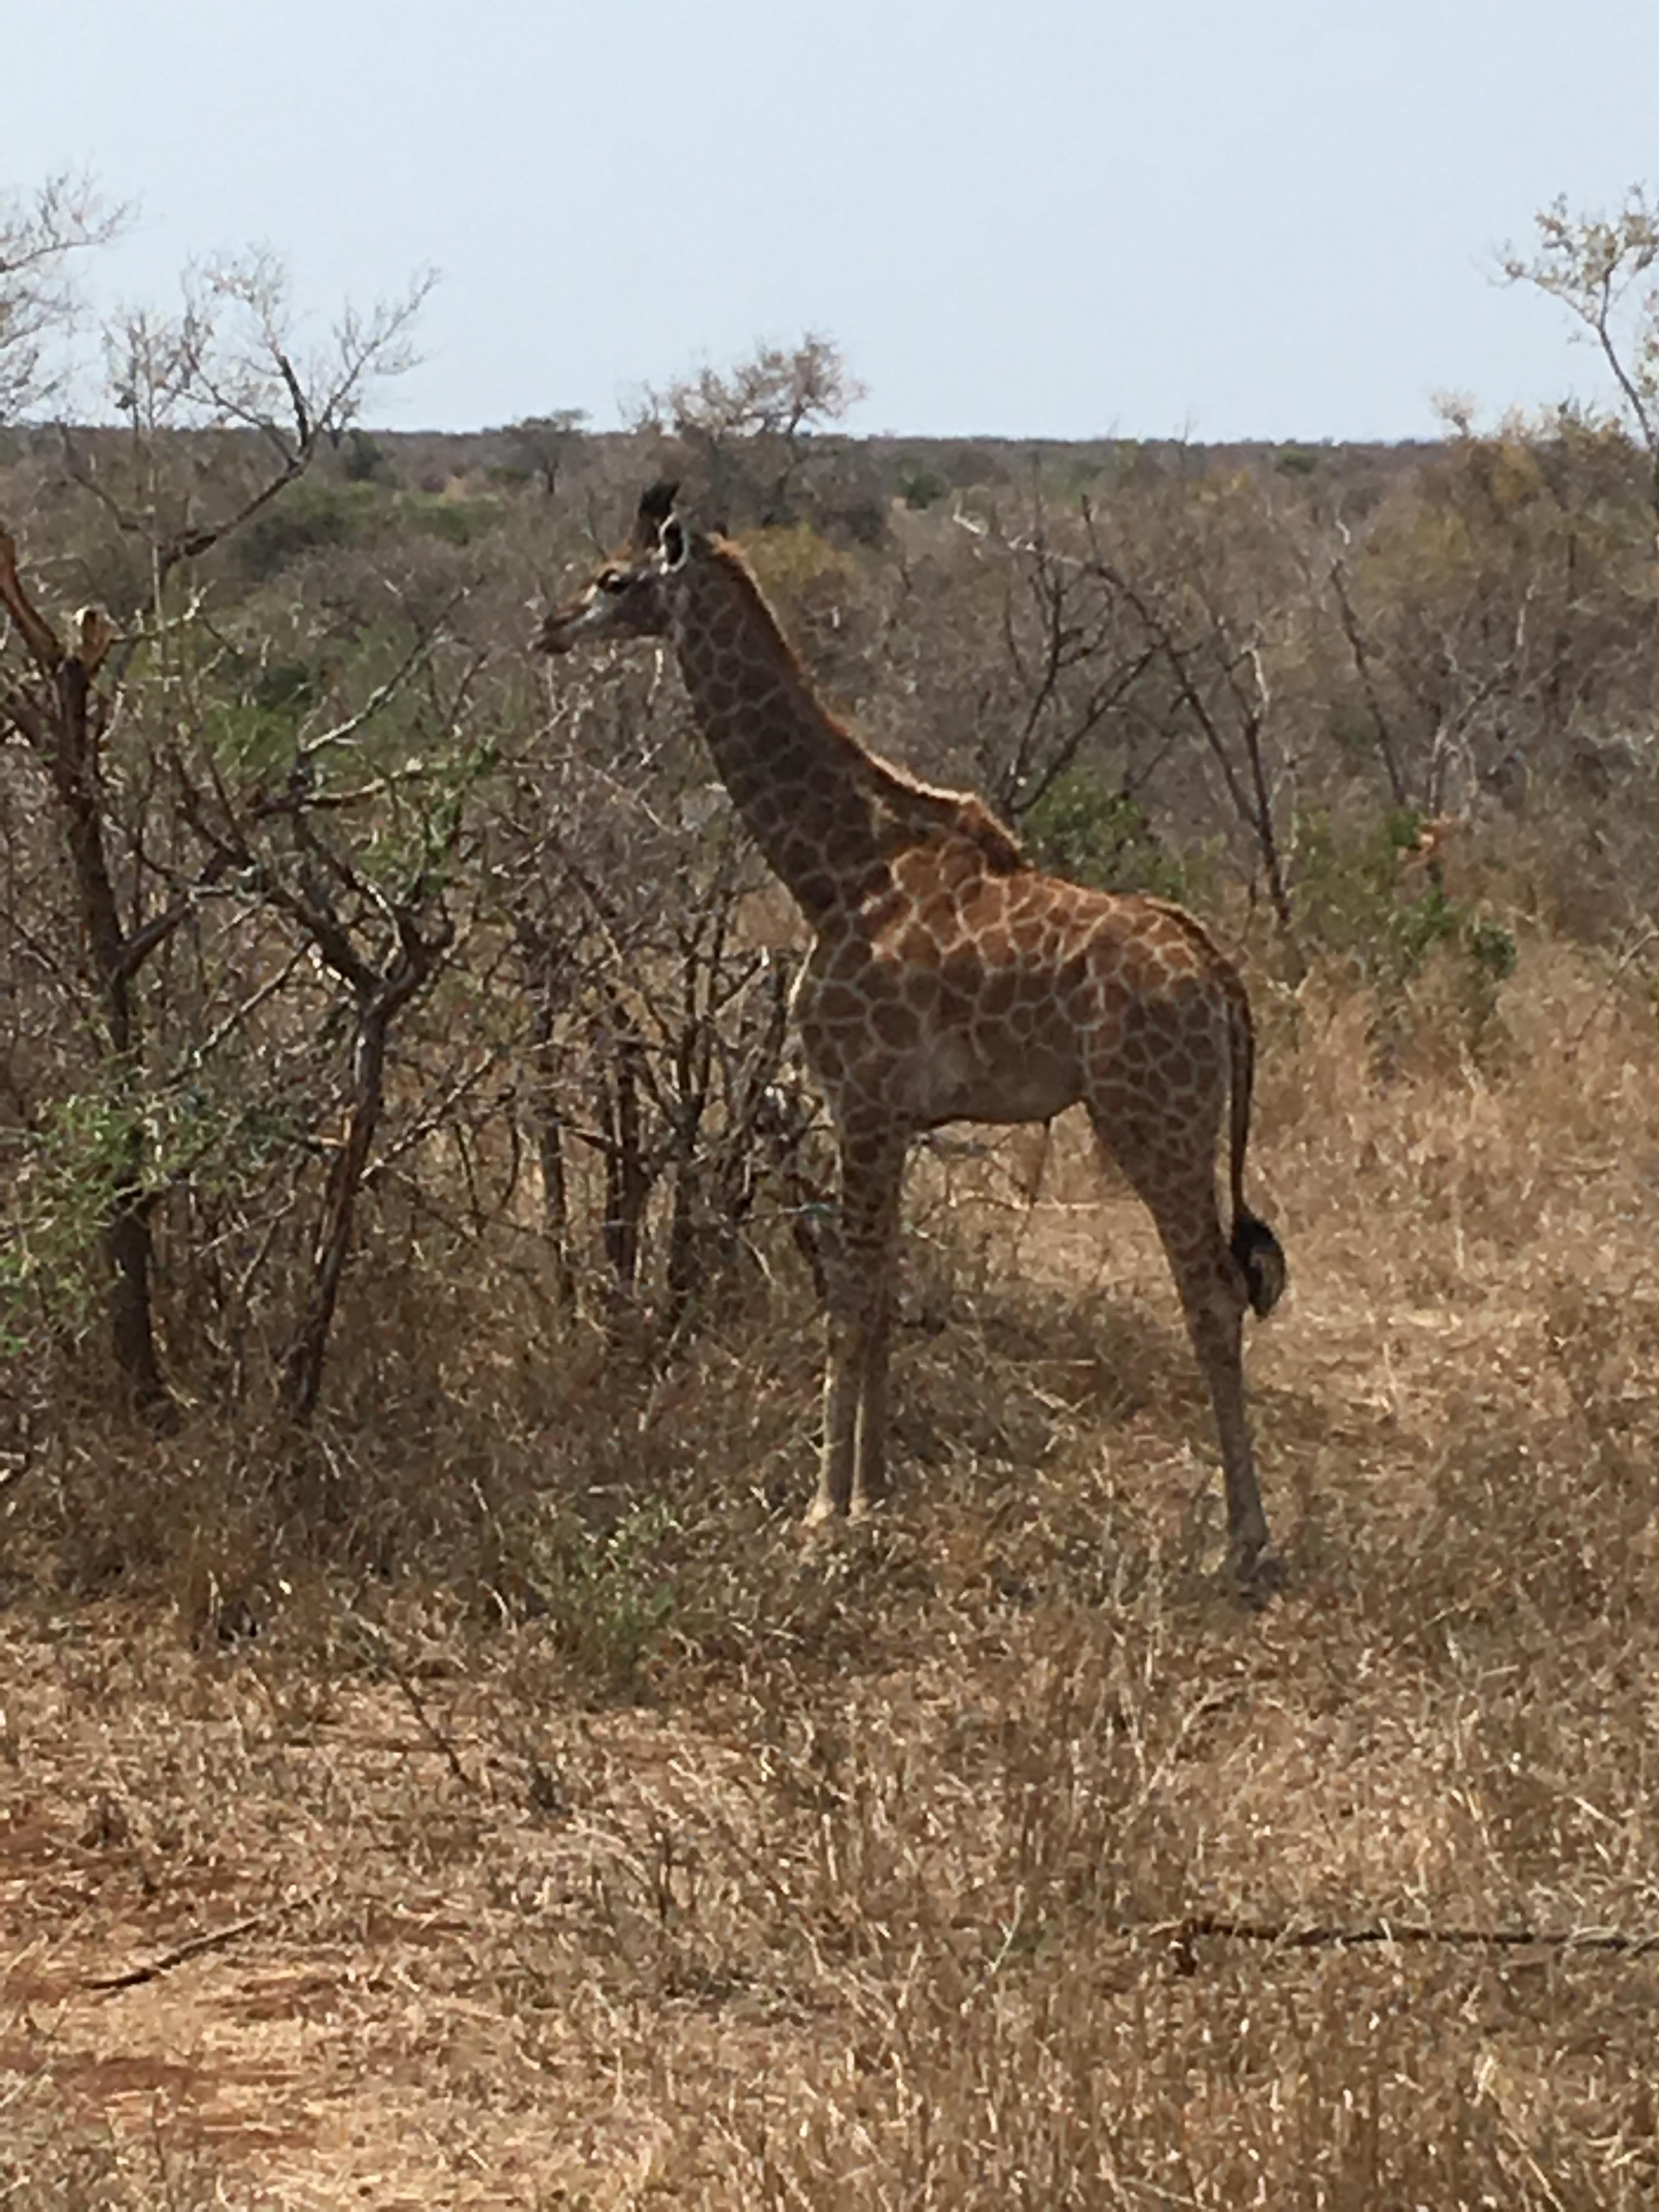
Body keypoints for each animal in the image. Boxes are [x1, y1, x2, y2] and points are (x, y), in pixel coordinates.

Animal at [539, 482, 1291, 1575]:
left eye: (612, 578)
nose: (548, 625)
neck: (835, 868)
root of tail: (1220, 977)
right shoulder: (890, 1116)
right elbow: (887, 1293)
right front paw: (876, 1494)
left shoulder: (857, 1099)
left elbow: (848, 1298)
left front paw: (823, 1510)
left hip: (1153, 1120)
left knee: (1212, 1294)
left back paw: (1241, 1541)